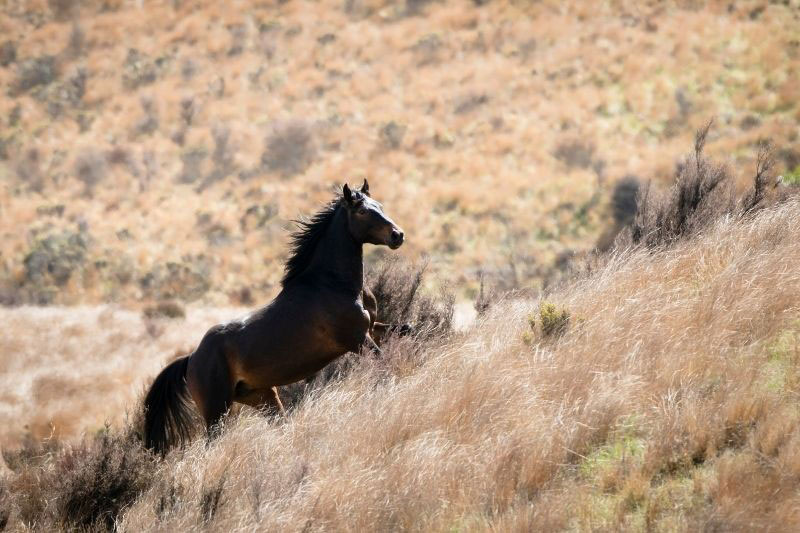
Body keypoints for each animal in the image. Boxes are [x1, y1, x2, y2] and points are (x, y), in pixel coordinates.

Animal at [143, 180, 405, 454]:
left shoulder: (372, 328)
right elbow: (385, 362)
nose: (397, 235)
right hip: (217, 411)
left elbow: (402, 329)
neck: (332, 285)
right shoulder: (357, 340)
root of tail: (191, 358)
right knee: (213, 443)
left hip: (262, 396)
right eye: (362, 211)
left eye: (380, 205)